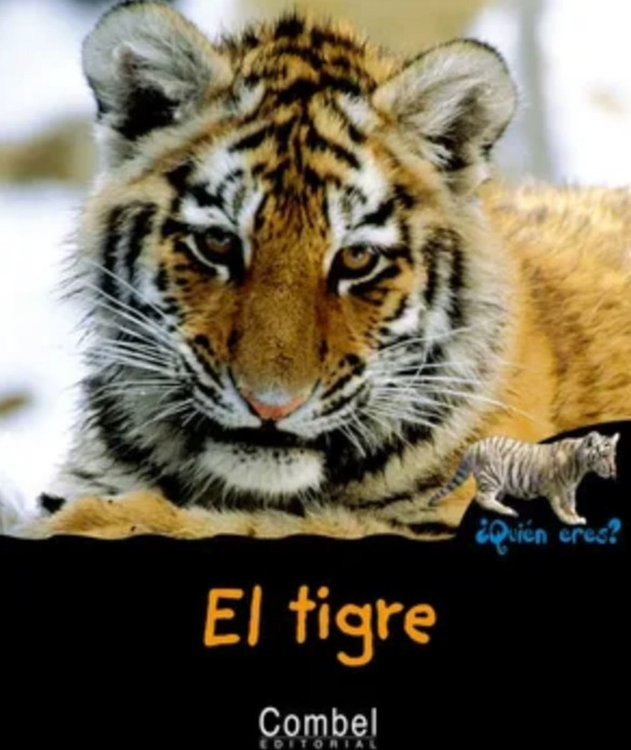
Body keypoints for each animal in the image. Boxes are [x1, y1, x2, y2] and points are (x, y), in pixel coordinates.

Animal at [430, 432, 619, 525]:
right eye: (604, 455)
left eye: (613, 455)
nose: (613, 471)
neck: (580, 467)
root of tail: (473, 446)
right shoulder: (556, 489)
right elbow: (560, 507)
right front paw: (569, 520)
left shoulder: (570, 489)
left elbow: (571, 505)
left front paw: (576, 517)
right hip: (491, 476)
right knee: (481, 497)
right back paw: (508, 511)